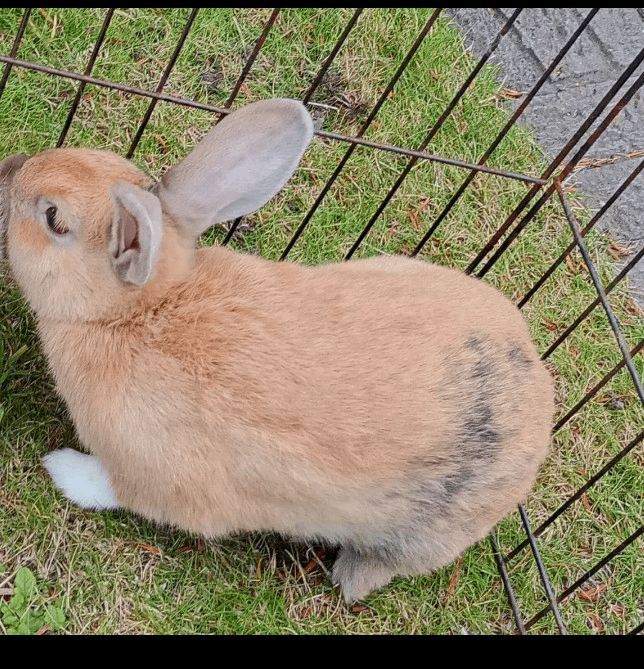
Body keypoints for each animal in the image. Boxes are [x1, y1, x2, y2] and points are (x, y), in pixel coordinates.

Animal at [0, 98, 554, 603]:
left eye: (53, 217)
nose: (9, 167)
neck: (137, 313)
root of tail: (540, 399)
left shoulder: (157, 476)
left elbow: (112, 488)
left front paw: (61, 468)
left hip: (422, 531)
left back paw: (348, 578)